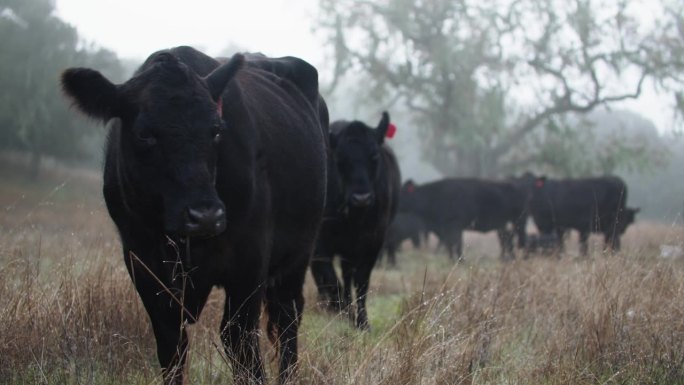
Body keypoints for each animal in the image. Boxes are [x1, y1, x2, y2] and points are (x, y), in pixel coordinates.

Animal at [60, 47, 328, 384]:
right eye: (144, 134)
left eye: (216, 130)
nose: (205, 215)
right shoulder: (141, 261)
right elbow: (171, 343)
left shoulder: (250, 260)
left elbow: (240, 340)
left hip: (298, 253)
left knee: (287, 318)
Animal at [314, 110, 404, 328]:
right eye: (340, 160)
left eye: (374, 157)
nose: (361, 198)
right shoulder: (321, 245)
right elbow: (330, 279)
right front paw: (343, 311)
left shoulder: (373, 243)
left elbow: (362, 282)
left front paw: (362, 321)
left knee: (348, 277)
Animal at [400, 178, 528, 260]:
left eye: (401, 191)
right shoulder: (447, 227)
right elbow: (451, 244)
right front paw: (452, 259)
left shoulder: (455, 225)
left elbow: (457, 244)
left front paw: (460, 260)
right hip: (503, 225)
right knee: (507, 240)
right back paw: (506, 258)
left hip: (518, 222)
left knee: (518, 239)